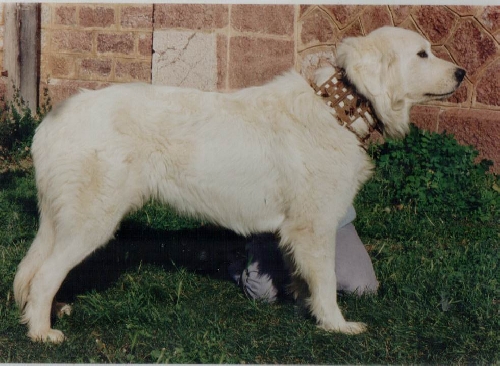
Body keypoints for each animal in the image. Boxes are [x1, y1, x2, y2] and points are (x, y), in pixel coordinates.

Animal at [12, 26, 464, 344]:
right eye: (422, 53)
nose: (461, 72)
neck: (336, 110)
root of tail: (52, 121)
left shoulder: (296, 231)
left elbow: (303, 276)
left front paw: (302, 305)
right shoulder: (315, 226)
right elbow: (328, 283)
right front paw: (335, 325)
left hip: (64, 220)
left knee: (34, 271)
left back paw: (50, 311)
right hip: (93, 220)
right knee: (46, 274)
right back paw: (42, 332)